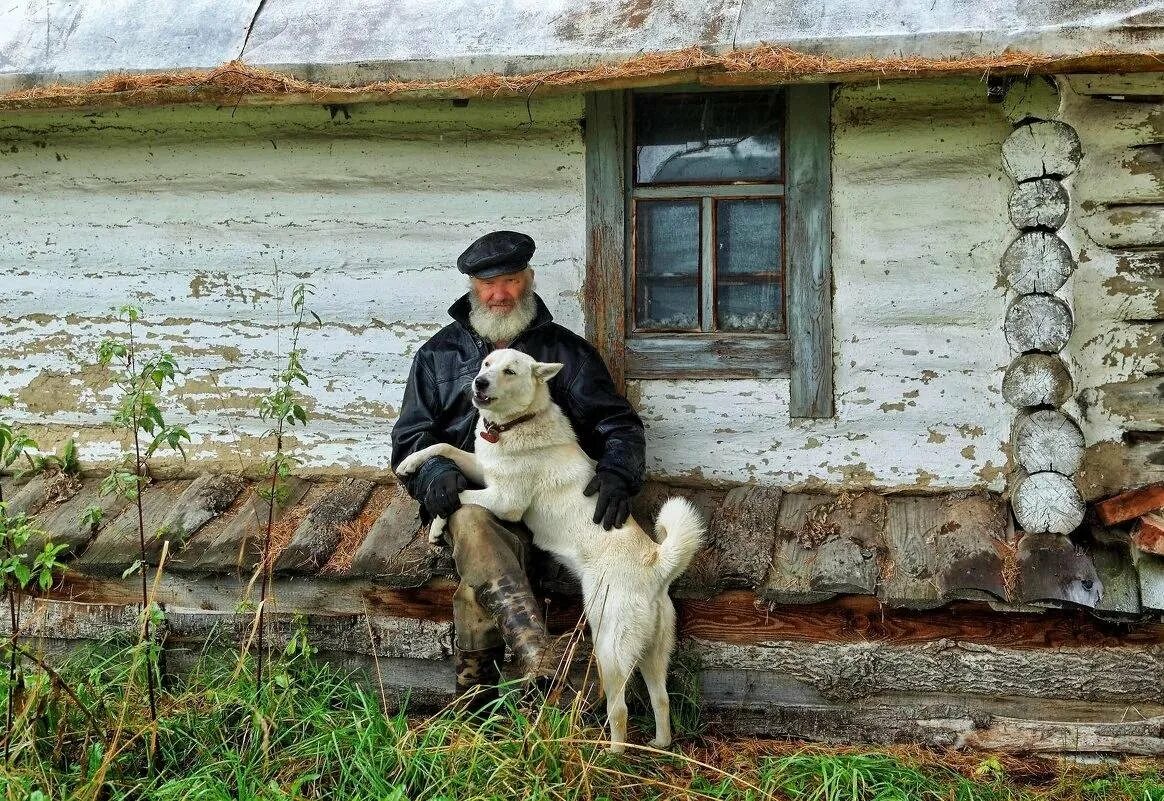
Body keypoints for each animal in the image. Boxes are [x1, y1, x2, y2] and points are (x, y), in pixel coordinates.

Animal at [400, 349, 698, 749]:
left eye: (510, 371)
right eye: (486, 364)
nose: (479, 382)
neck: (515, 425)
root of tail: (655, 563)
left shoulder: (503, 499)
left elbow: (460, 498)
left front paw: (436, 521)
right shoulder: (482, 468)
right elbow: (443, 450)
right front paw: (412, 466)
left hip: (609, 647)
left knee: (619, 708)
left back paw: (609, 753)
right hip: (652, 651)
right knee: (660, 697)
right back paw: (659, 745)